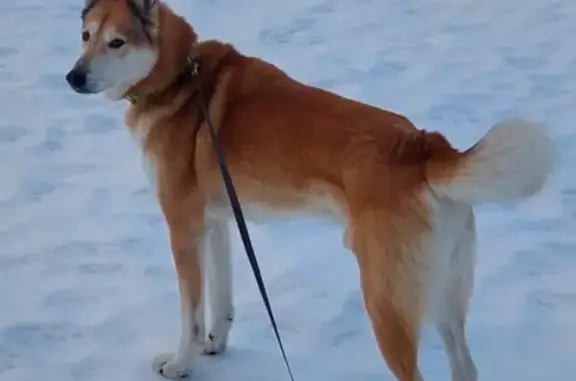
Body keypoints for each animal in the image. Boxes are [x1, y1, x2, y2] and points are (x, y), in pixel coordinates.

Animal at [65, 1, 556, 378]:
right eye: (85, 35)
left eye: (116, 42)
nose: (72, 77)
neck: (179, 79)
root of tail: (425, 146)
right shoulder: (219, 223)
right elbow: (221, 300)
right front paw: (215, 346)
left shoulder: (183, 228)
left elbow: (191, 313)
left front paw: (181, 363)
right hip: (444, 298)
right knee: (464, 366)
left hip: (387, 304)